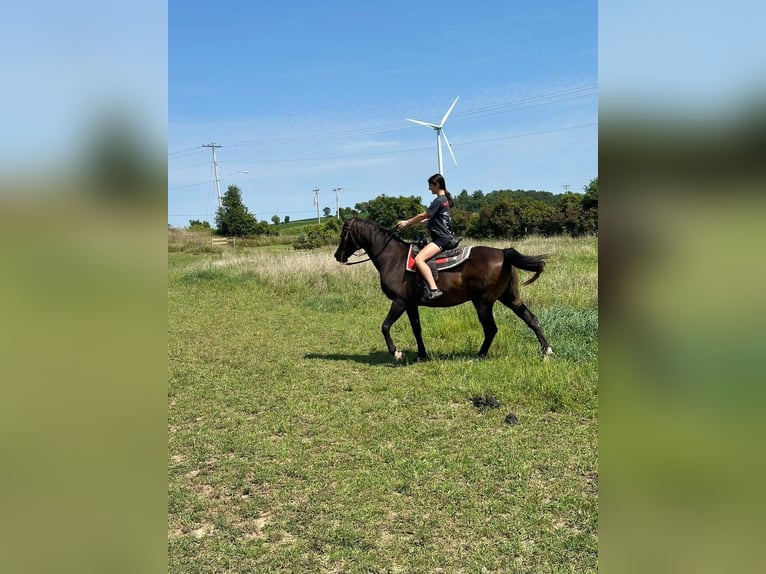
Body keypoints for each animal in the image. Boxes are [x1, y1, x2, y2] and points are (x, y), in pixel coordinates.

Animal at [334, 218, 552, 362]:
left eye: (344, 233)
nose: (338, 256)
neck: (393, 258)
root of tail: (503, 253)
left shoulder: (399, 302)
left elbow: (385, 326)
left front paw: (396, 353)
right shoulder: (411, 304)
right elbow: (416, 329)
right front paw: (421, 355)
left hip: (482, 302)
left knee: (491, 329)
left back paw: (480, 355)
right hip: (510, 298)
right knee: (531, 319)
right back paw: (546, 350)